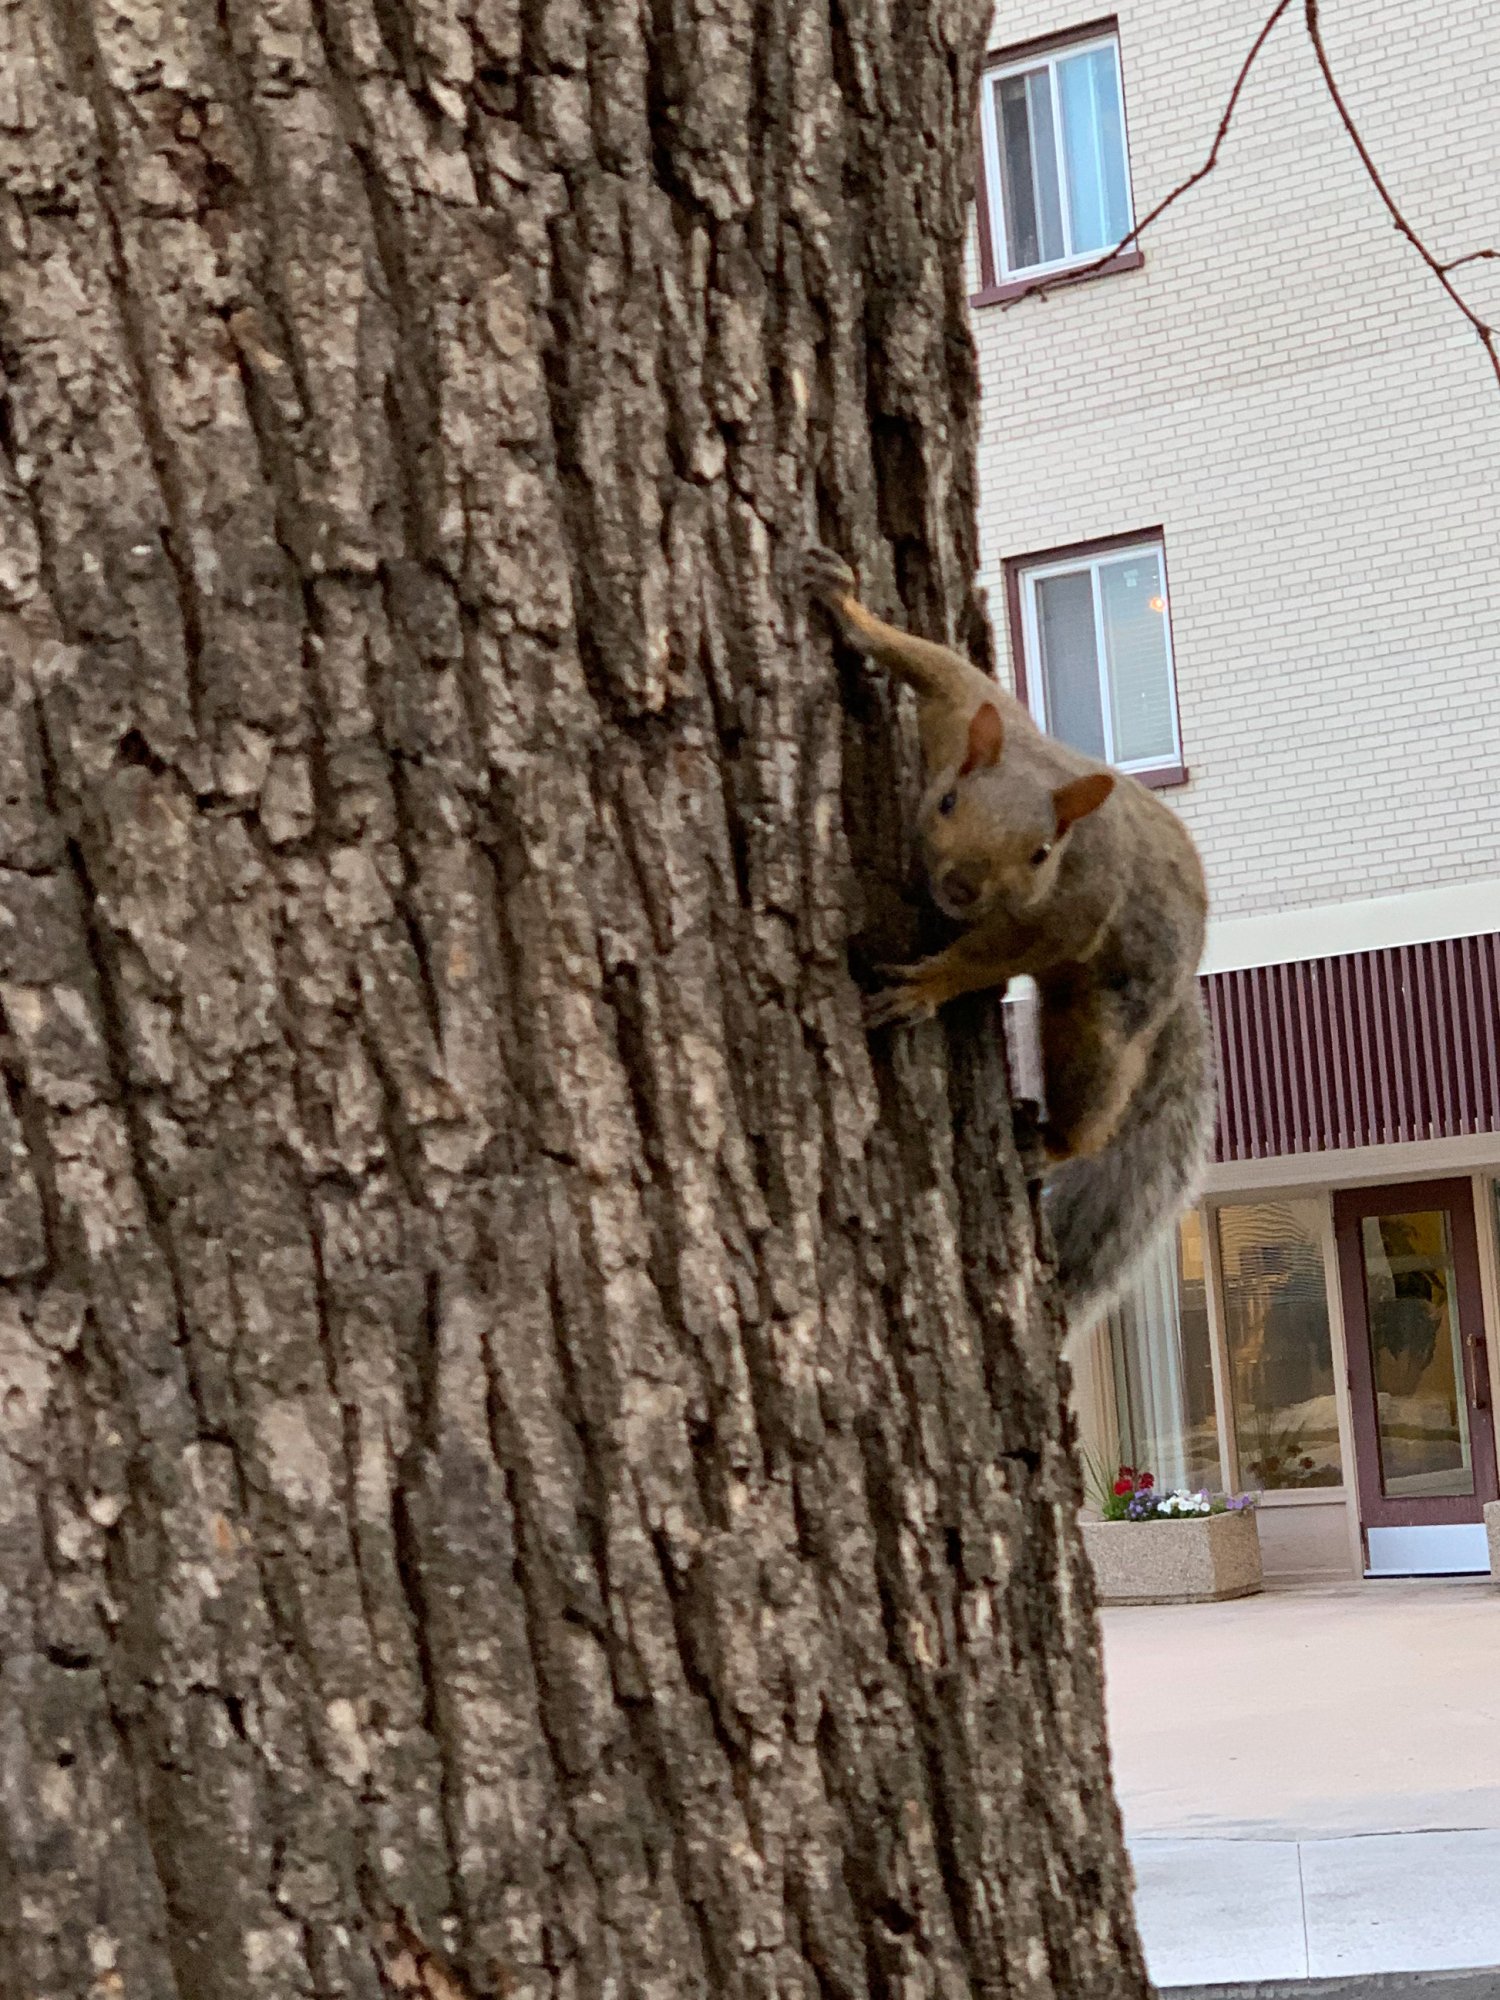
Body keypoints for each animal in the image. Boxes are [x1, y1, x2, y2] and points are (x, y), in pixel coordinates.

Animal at [804, 545, 1215, 1331]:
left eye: (1041, 854)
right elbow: (929, 660)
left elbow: (996, 955)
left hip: (1101, 1019)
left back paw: (1049, 1142)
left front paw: (927, 984)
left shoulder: (1071, 913)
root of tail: (1182, 985)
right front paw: (846, 604)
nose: (962, 888)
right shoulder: (965, 710)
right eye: (947, 801)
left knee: (1094, 1098)